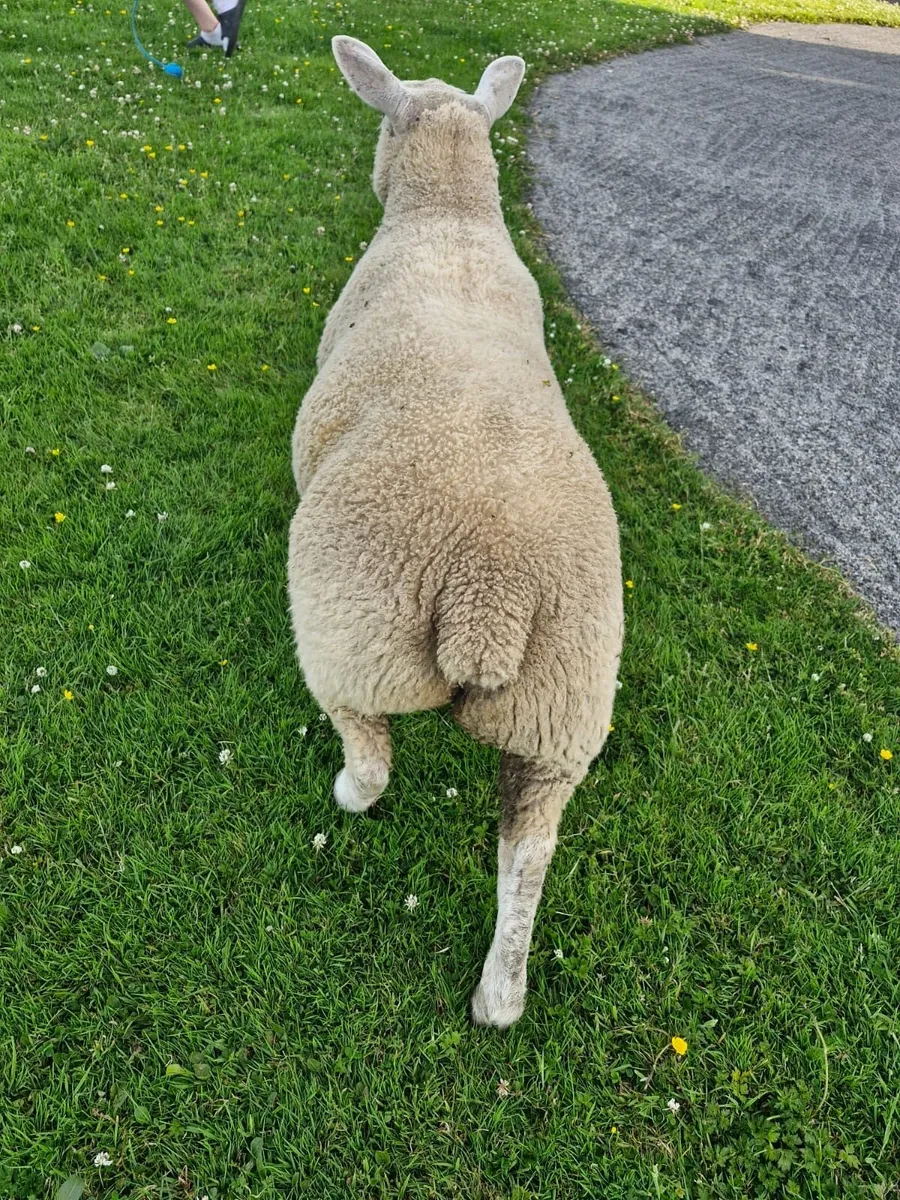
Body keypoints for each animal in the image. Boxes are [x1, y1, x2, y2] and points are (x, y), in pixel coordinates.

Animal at [287, 36, 624, 1029]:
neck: (451, 219)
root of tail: (489, 596)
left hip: (353, 636)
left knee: (371, 755)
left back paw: (346, 795)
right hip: (560, 715)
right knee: (529, 854)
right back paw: (498, 998)